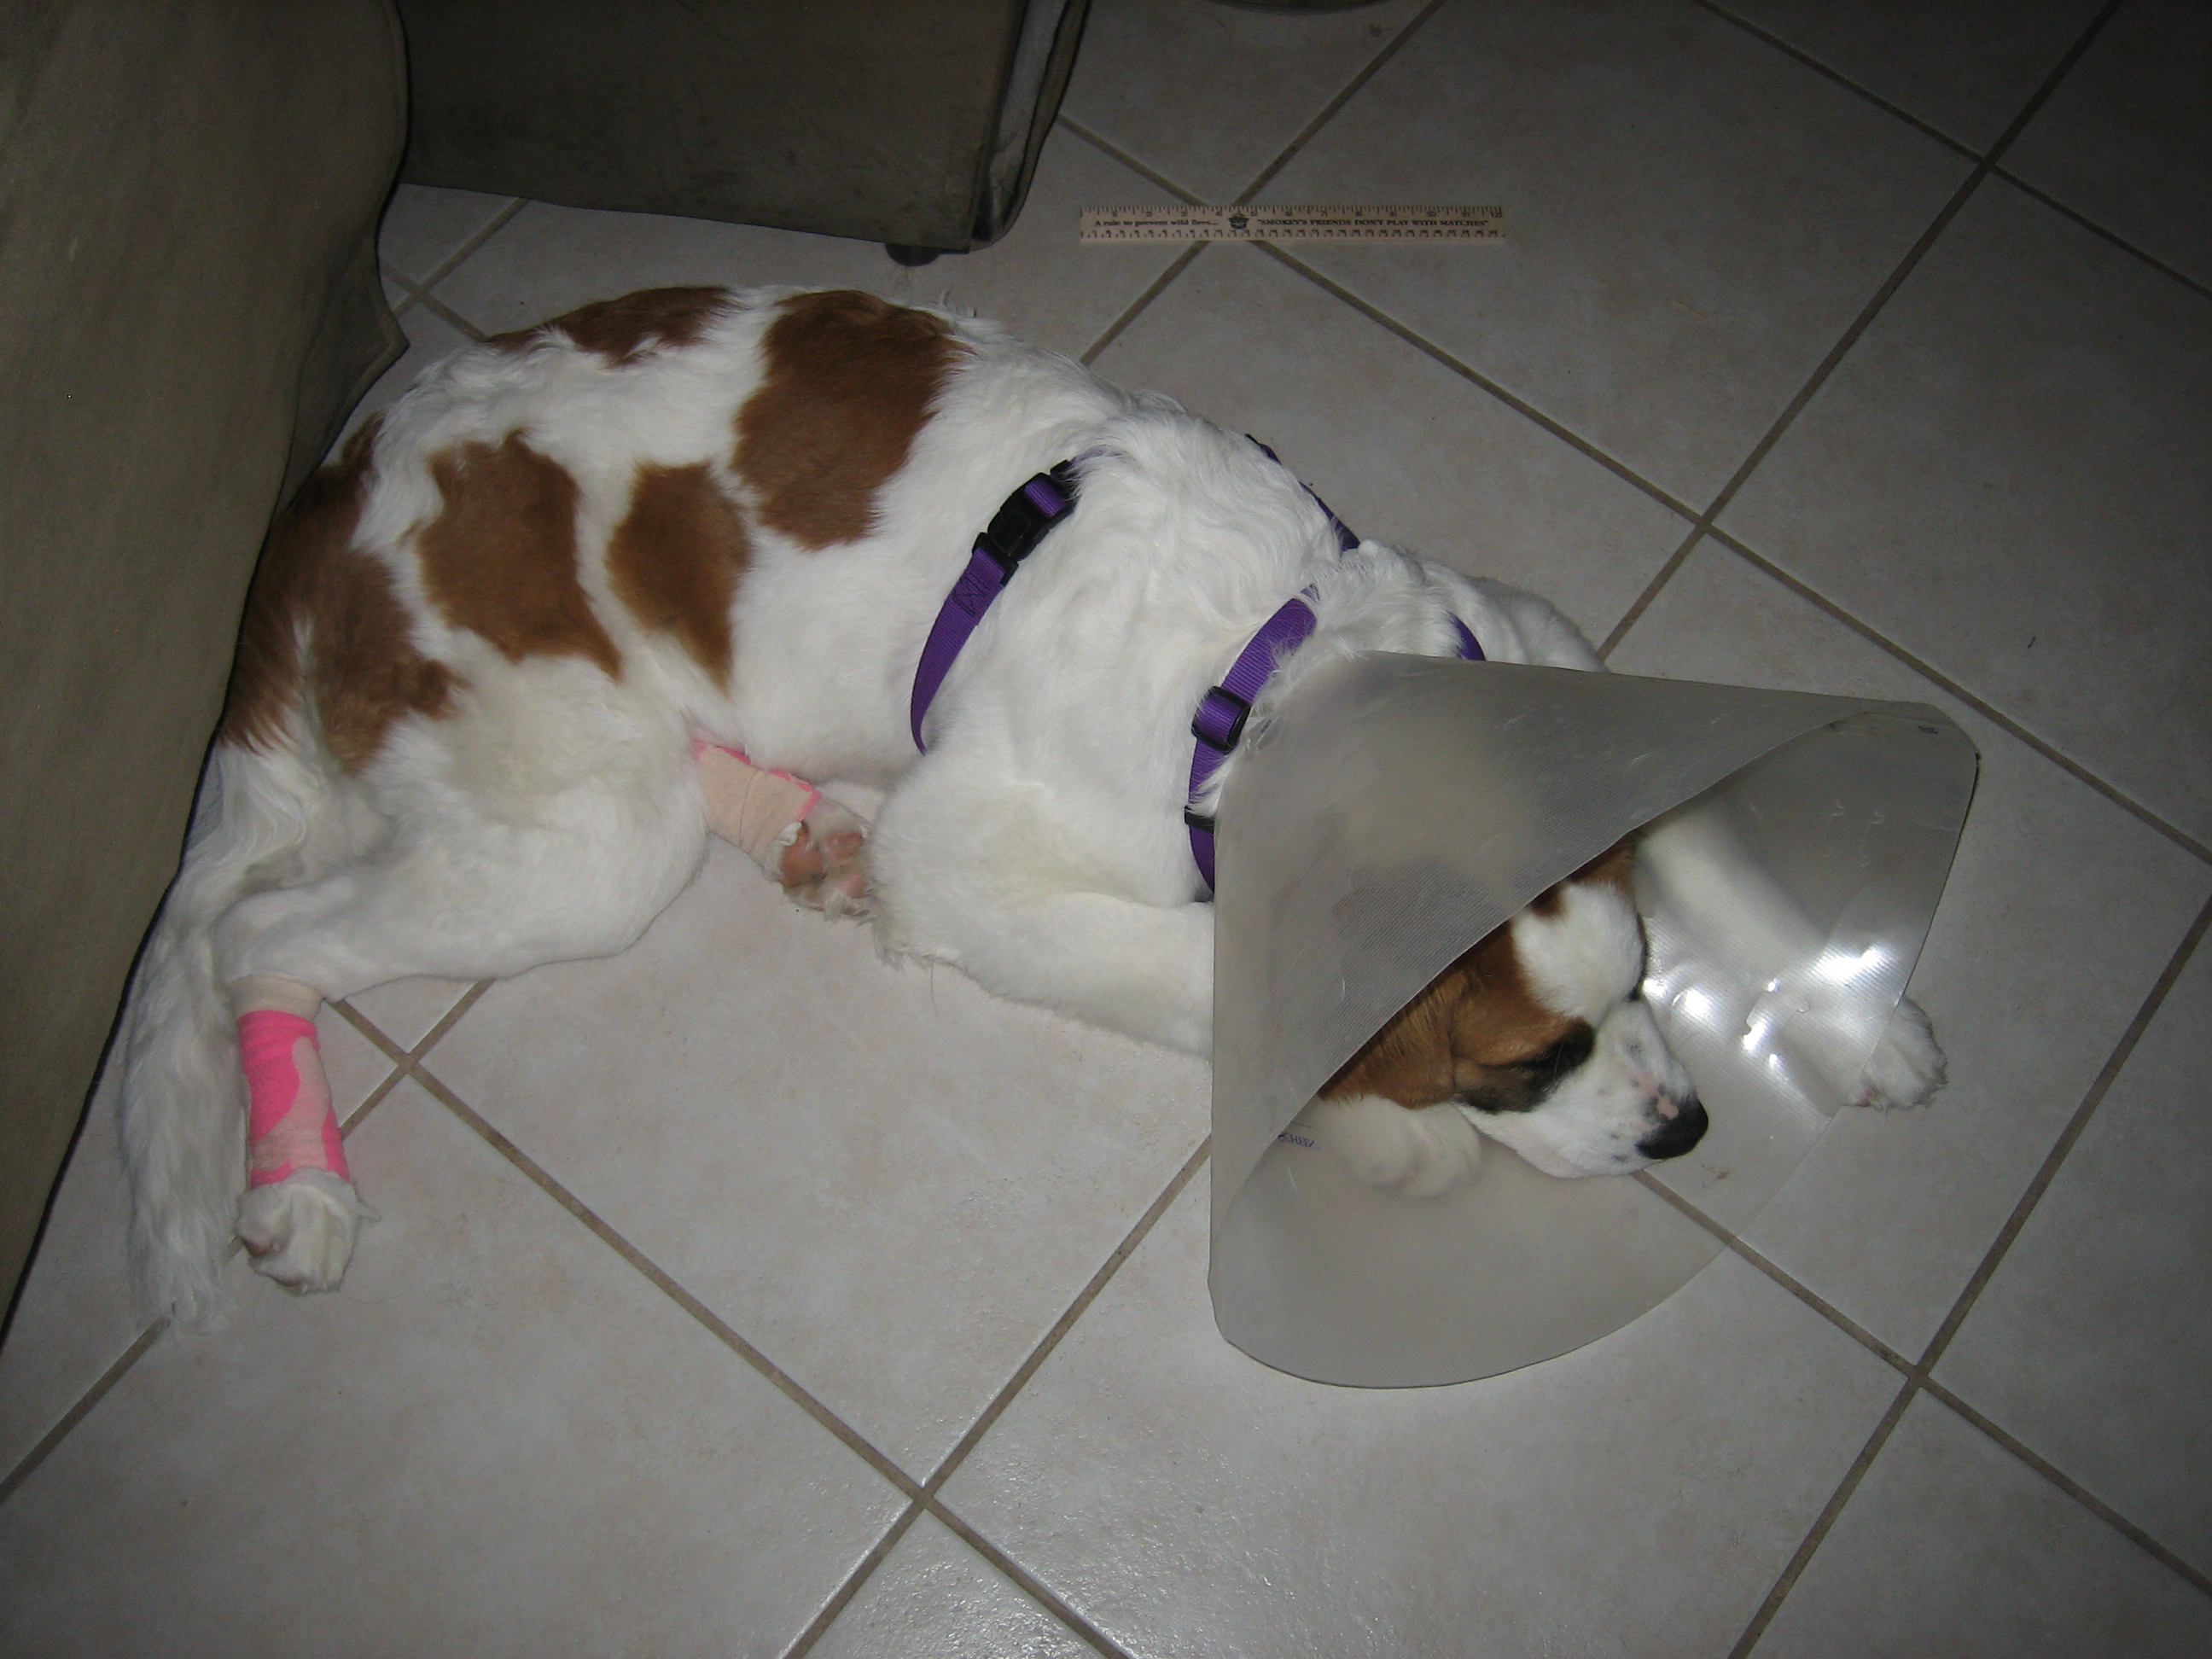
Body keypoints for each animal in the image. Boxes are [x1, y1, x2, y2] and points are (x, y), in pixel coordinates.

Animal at [118, 286, 1944, 1321]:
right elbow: (1216, 973)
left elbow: (1699, 825)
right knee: (255, 938)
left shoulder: (1547, 650)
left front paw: (1863, 1016)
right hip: (580, 830)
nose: (1686, 1128)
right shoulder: (974, 859)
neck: (1269, 668)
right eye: (1523, 1063)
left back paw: (802, 824)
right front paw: (1384, 1129)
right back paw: (301, 1184)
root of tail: (332, 475)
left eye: (1639, 988)